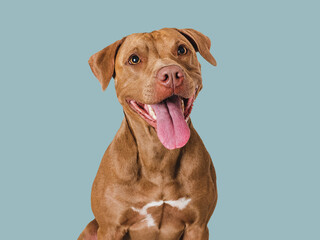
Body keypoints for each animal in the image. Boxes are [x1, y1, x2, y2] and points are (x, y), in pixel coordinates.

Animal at [78, 28, 218, 240]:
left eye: (181, 49)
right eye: (134, 59)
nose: (171, 73)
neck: (158, 154)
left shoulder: (198, 226)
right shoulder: (110, 228)